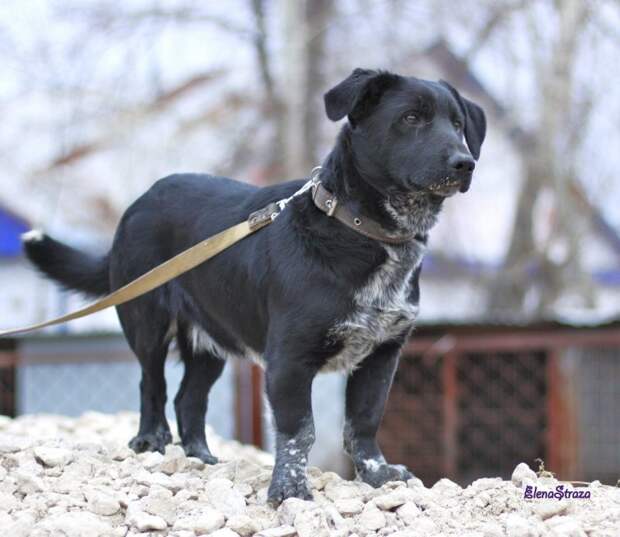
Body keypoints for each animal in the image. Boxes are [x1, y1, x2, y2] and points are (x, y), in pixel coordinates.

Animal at [23, 68, 484, 502]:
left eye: (458, 124)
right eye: (411, 118)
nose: (465, 163)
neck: (359, 229)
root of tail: (140, 202)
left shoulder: (382, 354)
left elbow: (365, 422)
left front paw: (377, 475)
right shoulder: (289, 360)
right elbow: (301, 430)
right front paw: (289, 489)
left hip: (210, 344)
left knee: (188, 399)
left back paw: (202, 459)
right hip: (147, 322)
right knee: (151, 385)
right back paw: (151, 440)